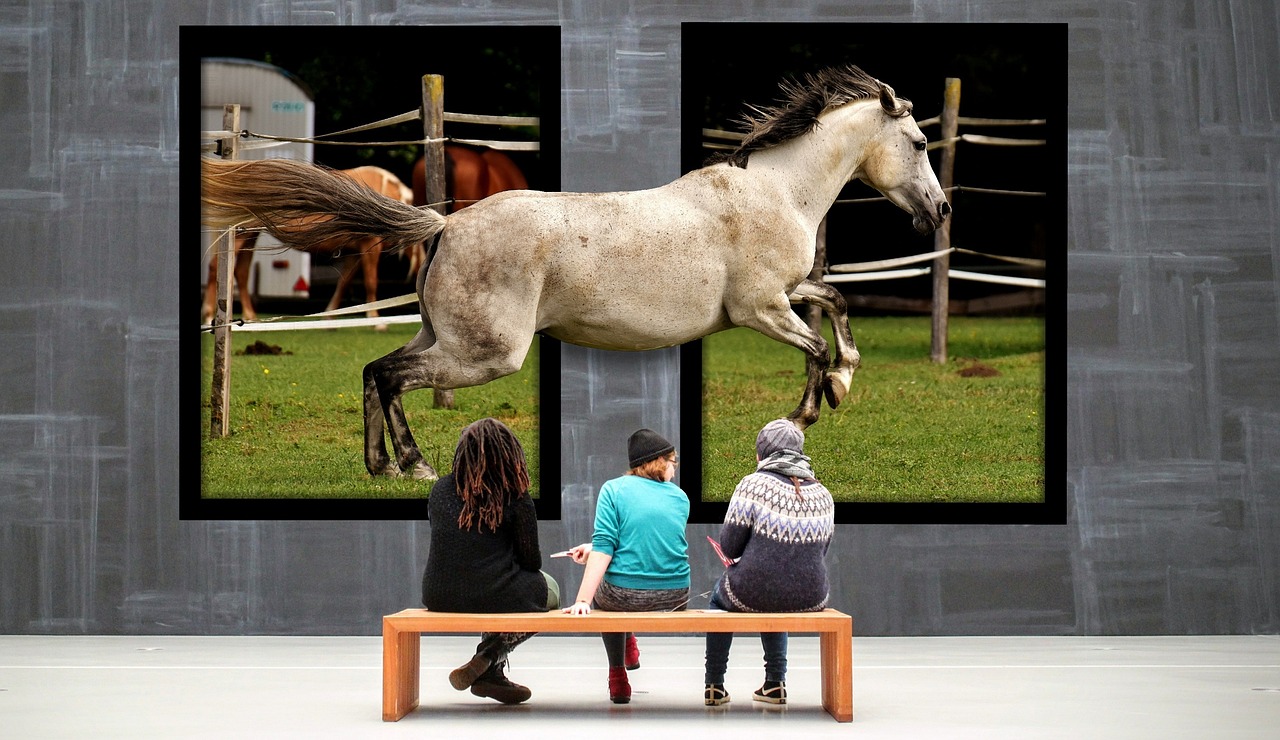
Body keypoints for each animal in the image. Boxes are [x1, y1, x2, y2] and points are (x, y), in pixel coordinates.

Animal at [199, 166, 419, 330]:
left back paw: (250, 316)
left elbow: (344, 282)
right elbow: (371, 282)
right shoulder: (369, 248)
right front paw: (376, 321)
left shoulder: (354, 253)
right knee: (215, 268)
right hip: (240, 236)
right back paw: (209, 315)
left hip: (249, 237)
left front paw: (330, 318)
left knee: (241, 272)